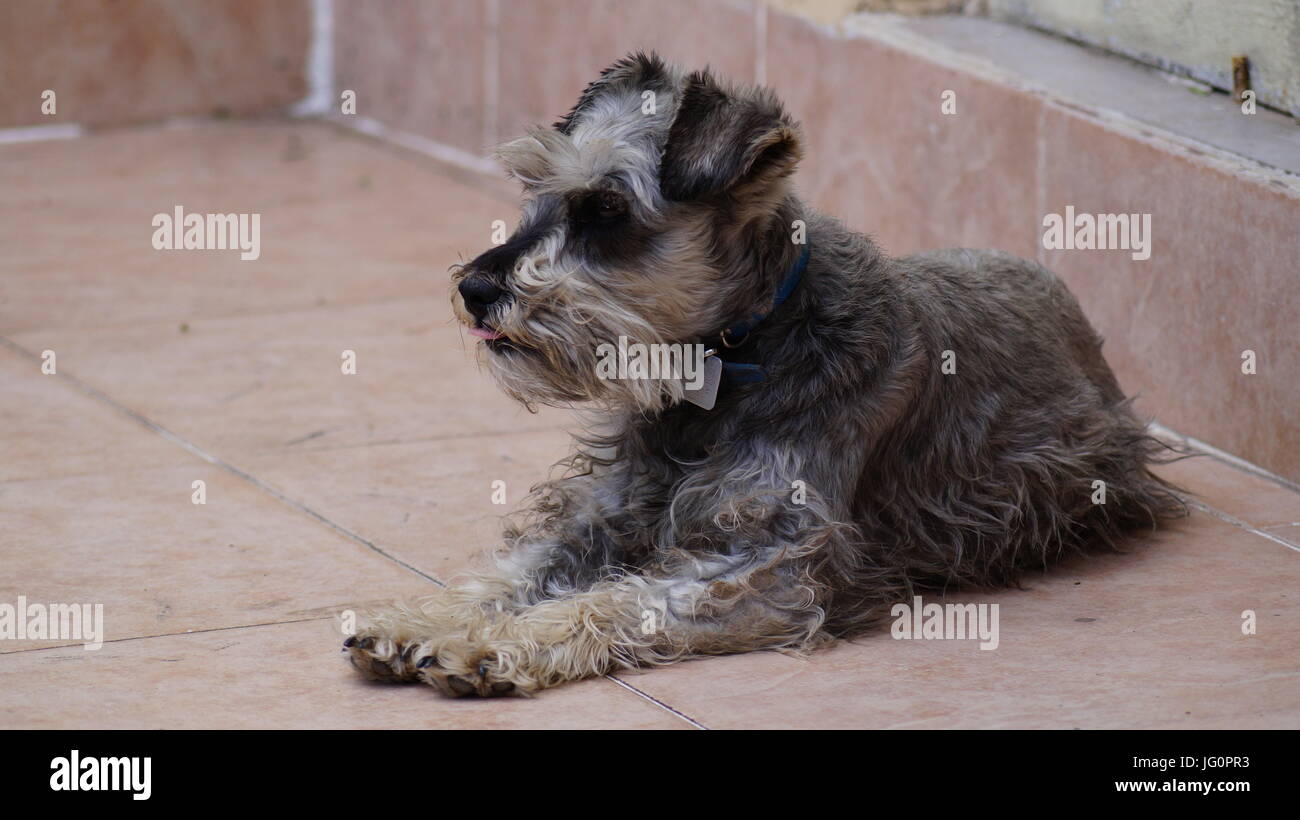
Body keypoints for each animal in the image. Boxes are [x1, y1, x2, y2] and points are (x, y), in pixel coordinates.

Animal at [340, 51, 1185, 696]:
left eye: (607, 210)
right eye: (533, 190)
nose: (476, 287)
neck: (723, 364)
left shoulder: (773, 564)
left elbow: (619, 601)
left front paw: (486, 647)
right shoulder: (606, 515)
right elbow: (512, 570)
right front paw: (416, 621)